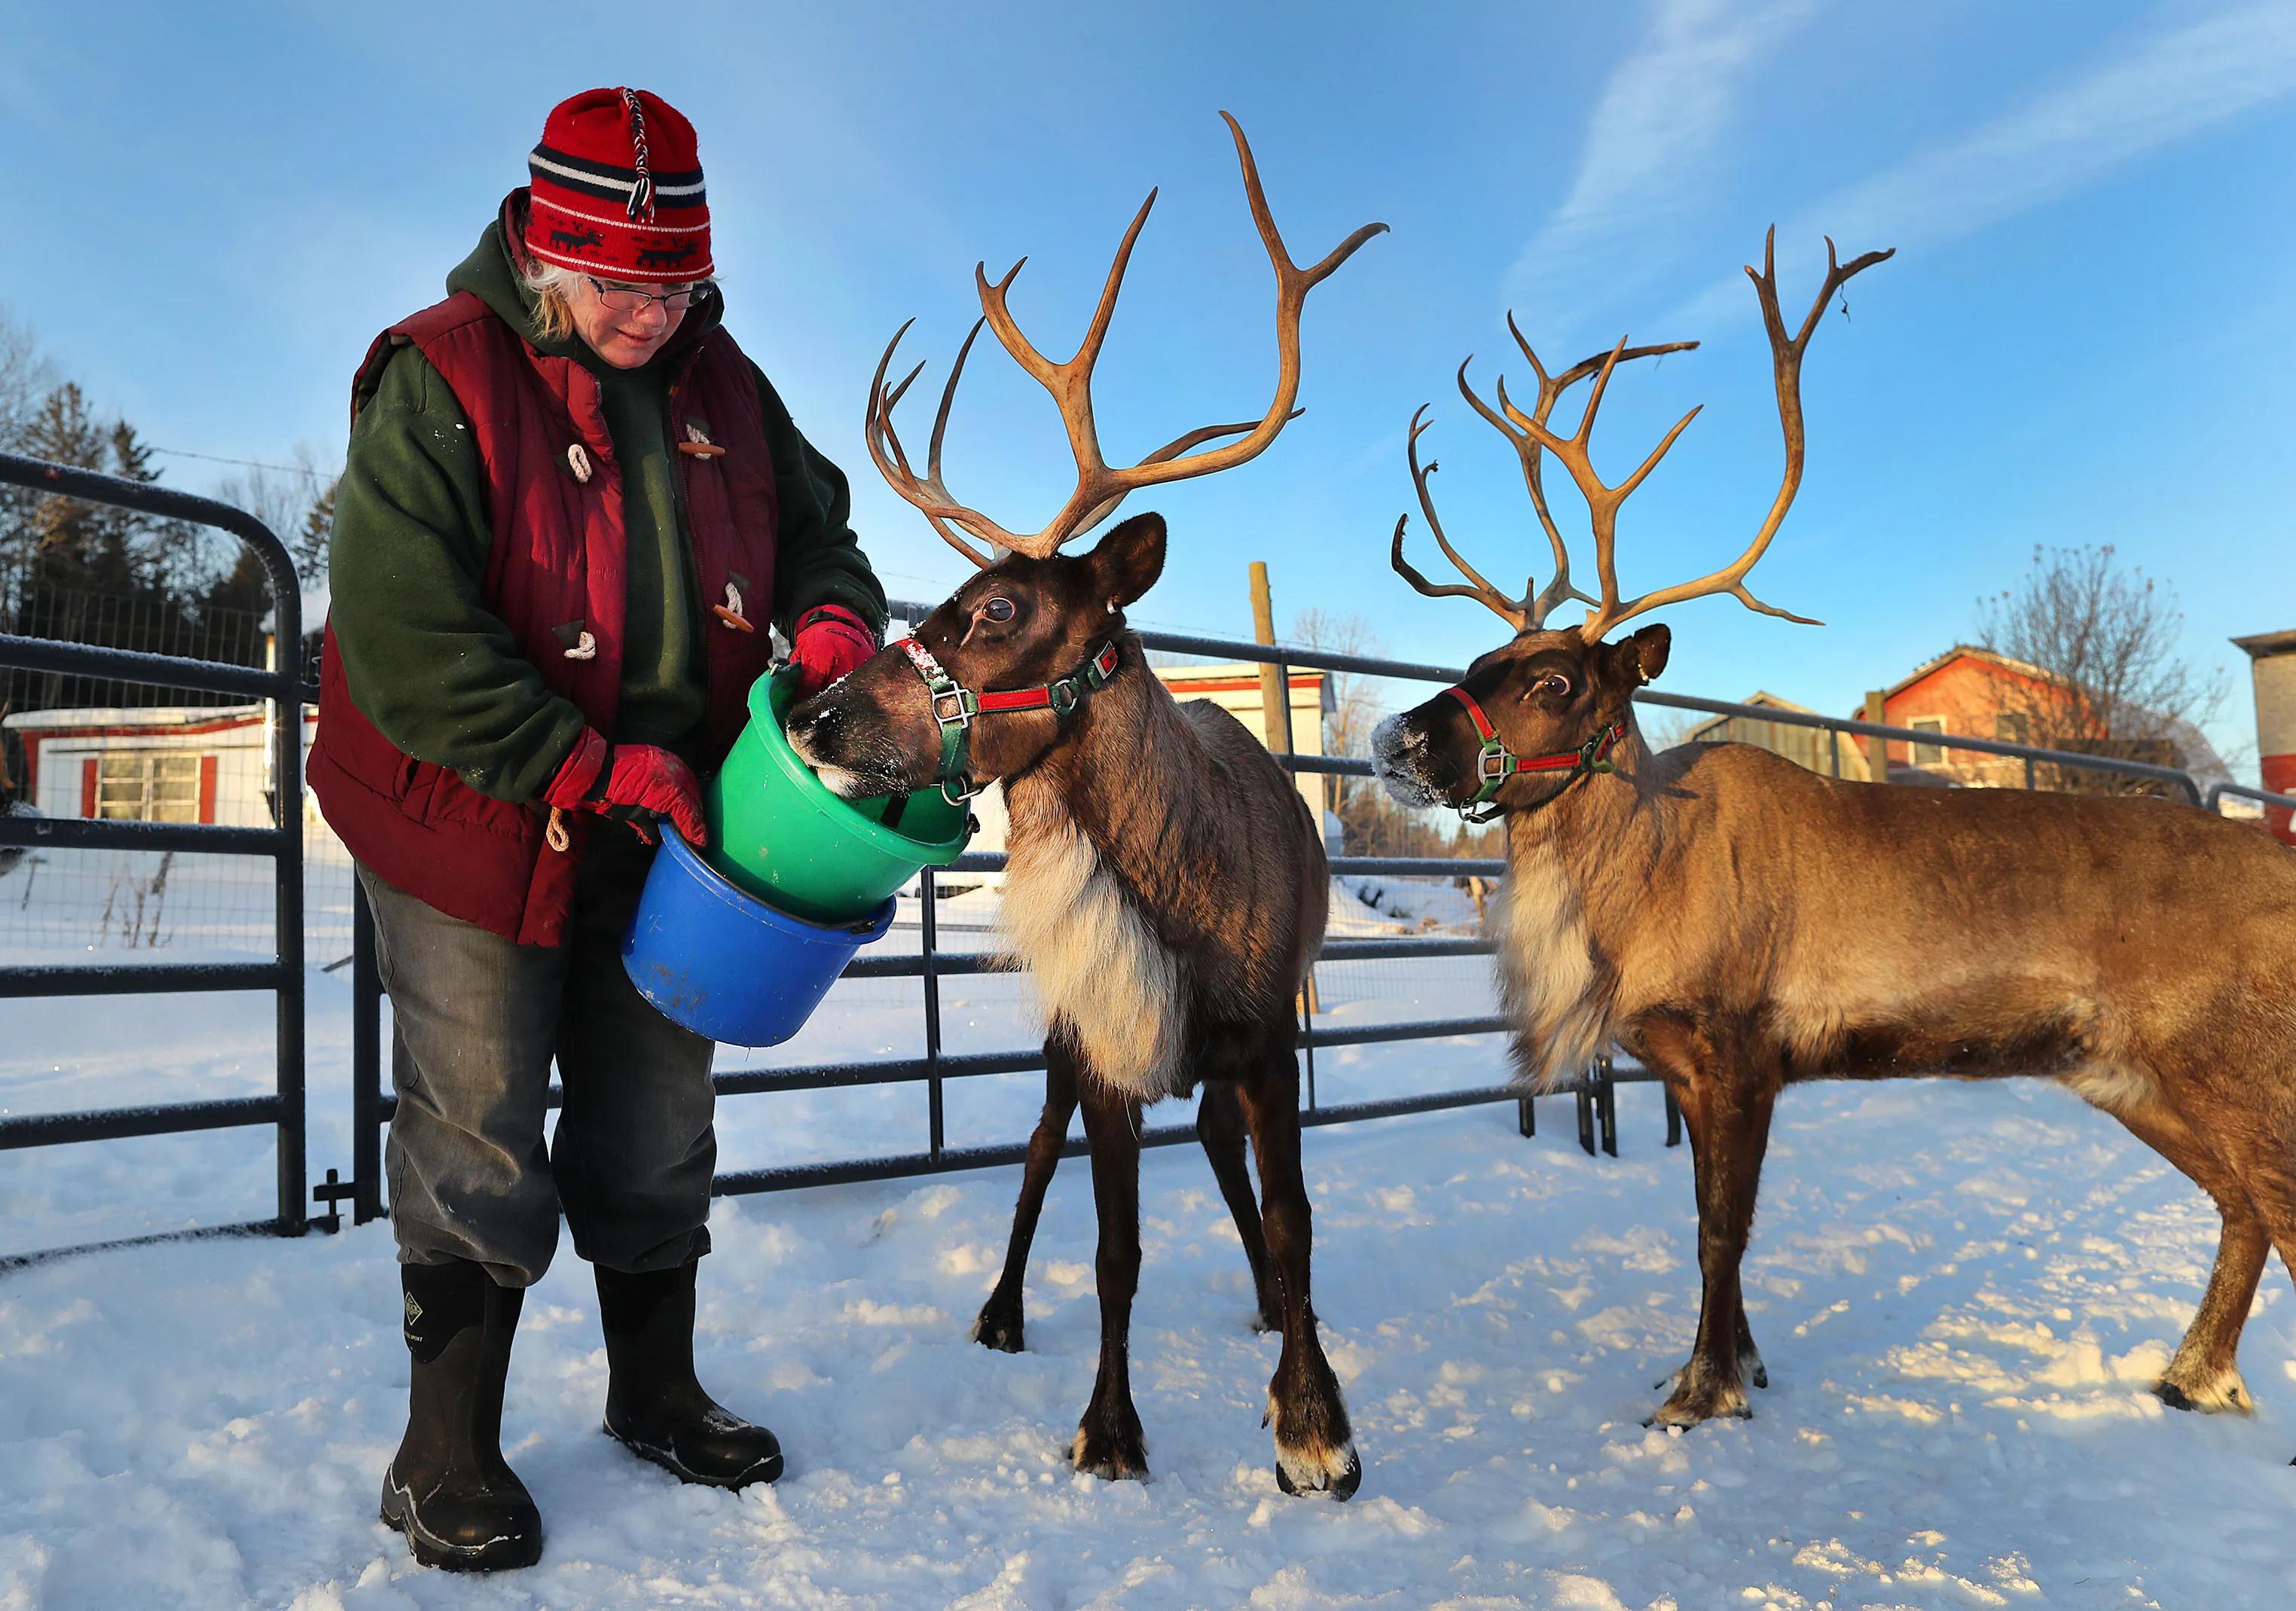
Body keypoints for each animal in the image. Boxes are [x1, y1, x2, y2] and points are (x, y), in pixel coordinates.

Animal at [785, 114, 1382, 1496]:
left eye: (997, 607)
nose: (819, 713)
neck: (1182, 901)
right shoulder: (1106, 1039)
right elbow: (1114, 1247)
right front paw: (1111, 1425)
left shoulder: (1267, 1034)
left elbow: (1296, 1216)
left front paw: (1315, 1420)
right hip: (1063, 1031)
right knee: (1034, 1152)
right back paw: (1002, 1307)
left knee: (1214, 1144)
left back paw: (1264, 1306)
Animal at [1370, 230, 2296, 1436]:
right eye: (1478, 659)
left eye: (1555, 679)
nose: (1397, 735)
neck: (1637, 896)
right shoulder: (1681, 1068)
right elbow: (1713, 1230)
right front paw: (1743, 1364)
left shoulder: (1740, 1049)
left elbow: (1721, 1233)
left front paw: (1699, 1391)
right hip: (2128, 1073)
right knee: (2243, 1203)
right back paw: (2192, 1375)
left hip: (2231, 1058)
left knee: (2272, 1197)